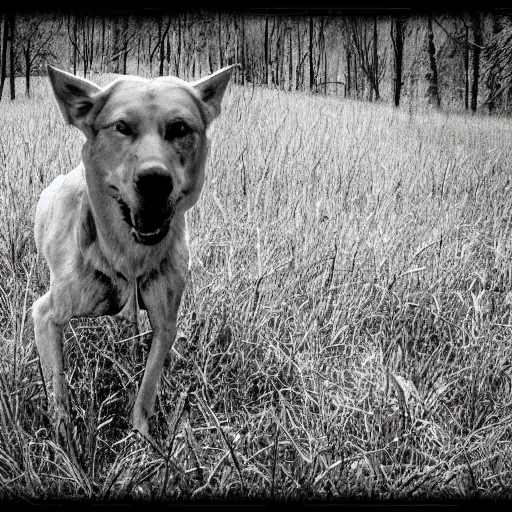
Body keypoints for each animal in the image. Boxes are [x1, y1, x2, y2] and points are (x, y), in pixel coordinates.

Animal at [33, 62, 237, 442]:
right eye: (122, 127)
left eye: (180, 128)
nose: (155, 179)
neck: (128, 257)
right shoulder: (46, 314)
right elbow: (57, 382)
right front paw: (63, 434)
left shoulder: (166, 322)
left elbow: (148, 386)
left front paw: (142, 437)